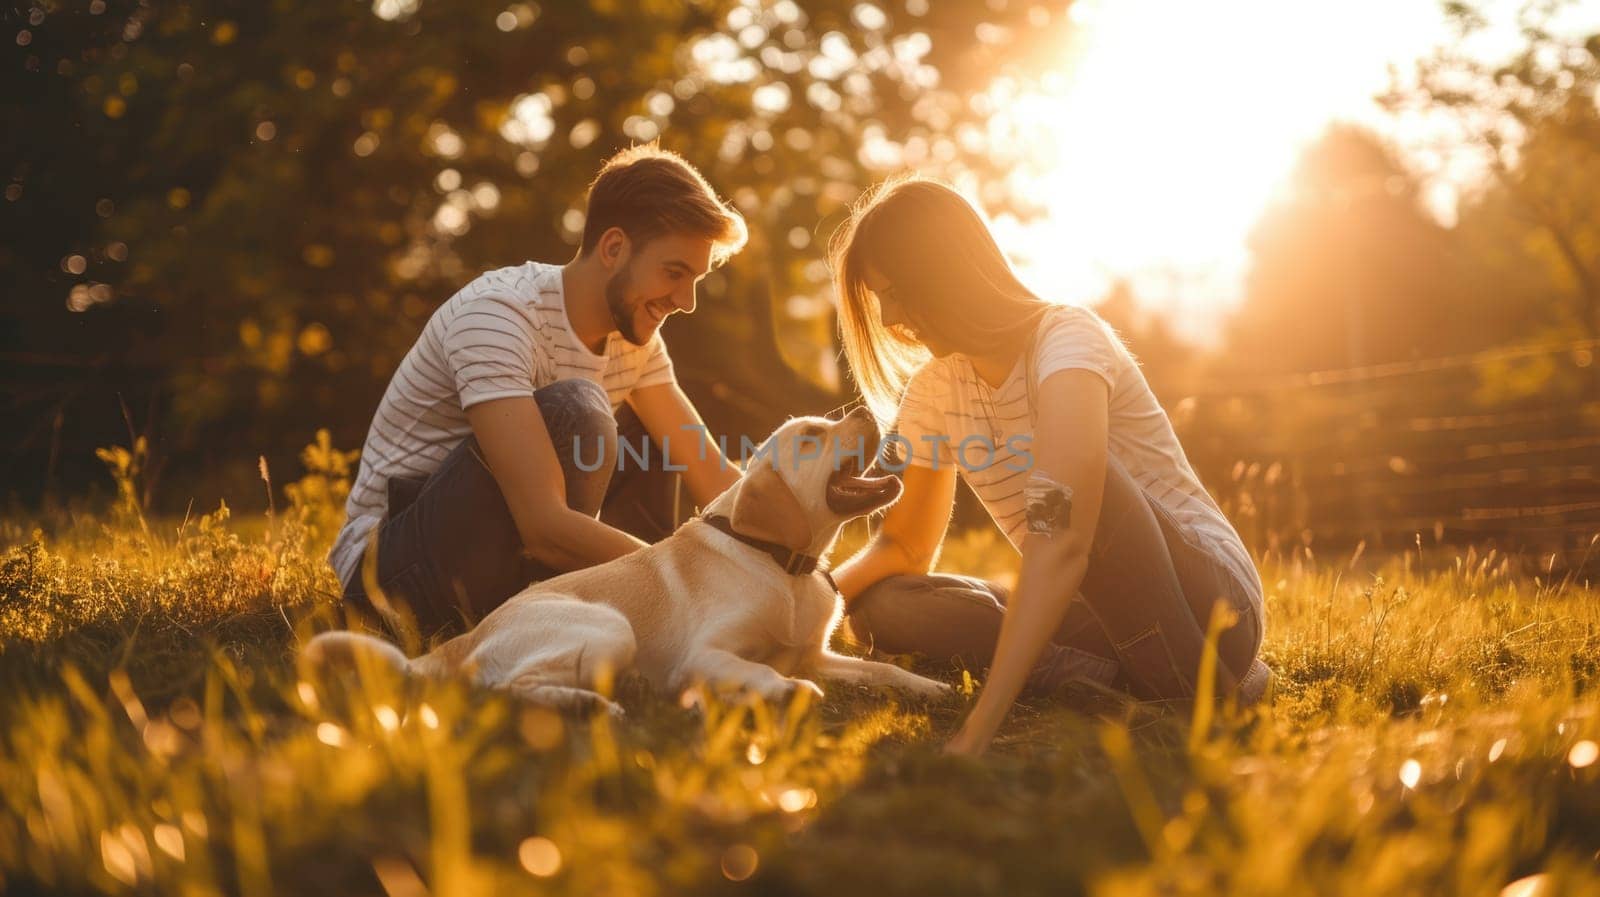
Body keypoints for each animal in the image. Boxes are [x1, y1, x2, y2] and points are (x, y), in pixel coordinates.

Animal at [302, 409, 947, 716]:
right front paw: (783, 692)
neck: (784, 564)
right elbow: (765, 672)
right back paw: (590, 705)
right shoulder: (705, 654)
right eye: (814, 434)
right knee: (505, 689)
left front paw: (930, 685)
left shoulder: (816, 654)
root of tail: (464, 639)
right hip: (609, 627)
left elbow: (880, 670)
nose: (866, 410)